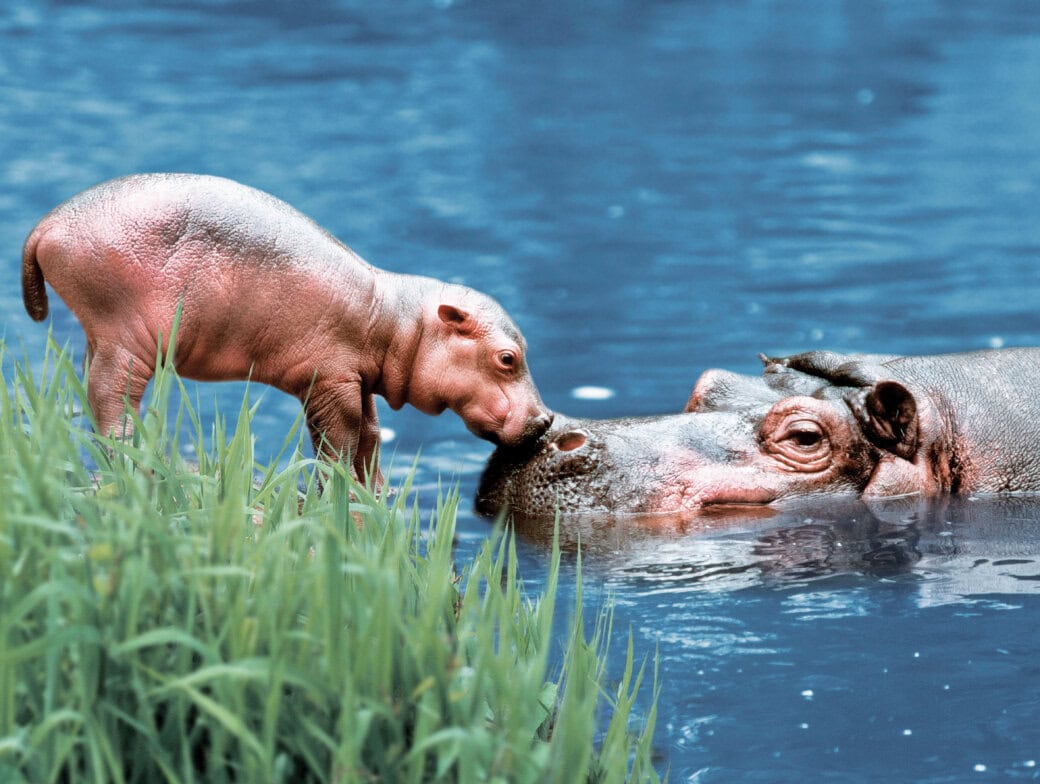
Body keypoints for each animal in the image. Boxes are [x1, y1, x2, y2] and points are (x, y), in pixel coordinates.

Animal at [22, 173, 551, 481]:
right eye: (507, 358)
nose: (547, 420)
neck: (398, 321)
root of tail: (46, 223)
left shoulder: (355, 383)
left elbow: (370, 439)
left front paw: (373, 498)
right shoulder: (332, 384)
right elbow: (340, 442)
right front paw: (341, 497)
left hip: (102, 336)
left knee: (94, 390)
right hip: (124, 336)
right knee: (113, 399)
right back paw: (140, 460)